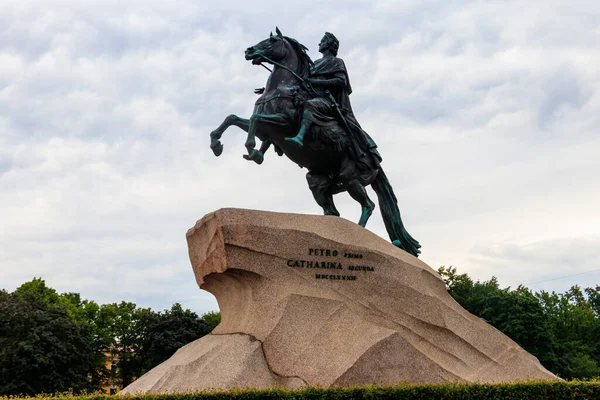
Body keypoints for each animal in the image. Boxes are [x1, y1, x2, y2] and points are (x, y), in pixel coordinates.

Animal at [209, 29, 420, 258]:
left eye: (272, 40)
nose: (249, 51)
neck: (282, 88)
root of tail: (376, 163)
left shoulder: (283, 122)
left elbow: (255, 120)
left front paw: (251, 147)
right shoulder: (267, 130)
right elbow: (233, 118)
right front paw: (218, 144)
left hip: (351, 178)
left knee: (369, 205)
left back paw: (360, 237)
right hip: (318, 182)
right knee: (332, 211)